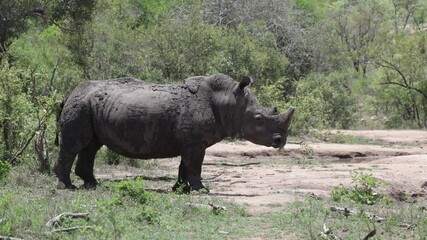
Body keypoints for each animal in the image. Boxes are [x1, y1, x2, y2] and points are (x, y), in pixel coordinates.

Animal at [54, 74, 294, 192]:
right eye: (259, 119)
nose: (280, 141)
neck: (229, 101)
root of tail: (71, 92)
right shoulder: (195, 142)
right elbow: (194, 166)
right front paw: (201, 191)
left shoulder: (190, 141)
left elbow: (184, 166)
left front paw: (179, 189)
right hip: (80, 105)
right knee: (74, 145)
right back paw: (67, 187)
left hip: (89, 107)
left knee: (91, 146)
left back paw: (92, 185)